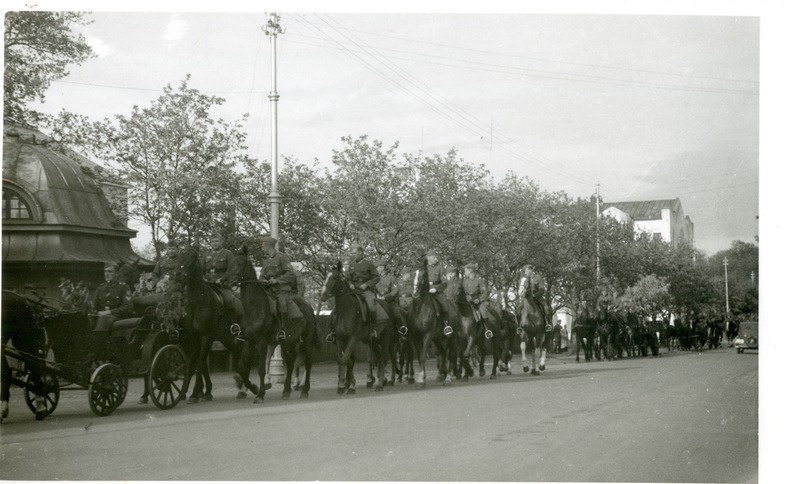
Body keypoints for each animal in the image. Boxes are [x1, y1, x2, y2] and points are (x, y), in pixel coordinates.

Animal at [228, 246, 316, 400]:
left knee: (308, 363)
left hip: (307, 340)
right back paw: (286, 391)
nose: (224, 280)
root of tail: (308, 306)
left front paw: (260, 394)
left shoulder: (262, 342)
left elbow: (261, 369)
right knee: (291, 363)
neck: (255, 307)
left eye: (239, 263)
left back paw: (304, 390)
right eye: (232, 262)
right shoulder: (249, 341)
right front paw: (253, 388)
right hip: (288, 341)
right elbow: (242, 366)